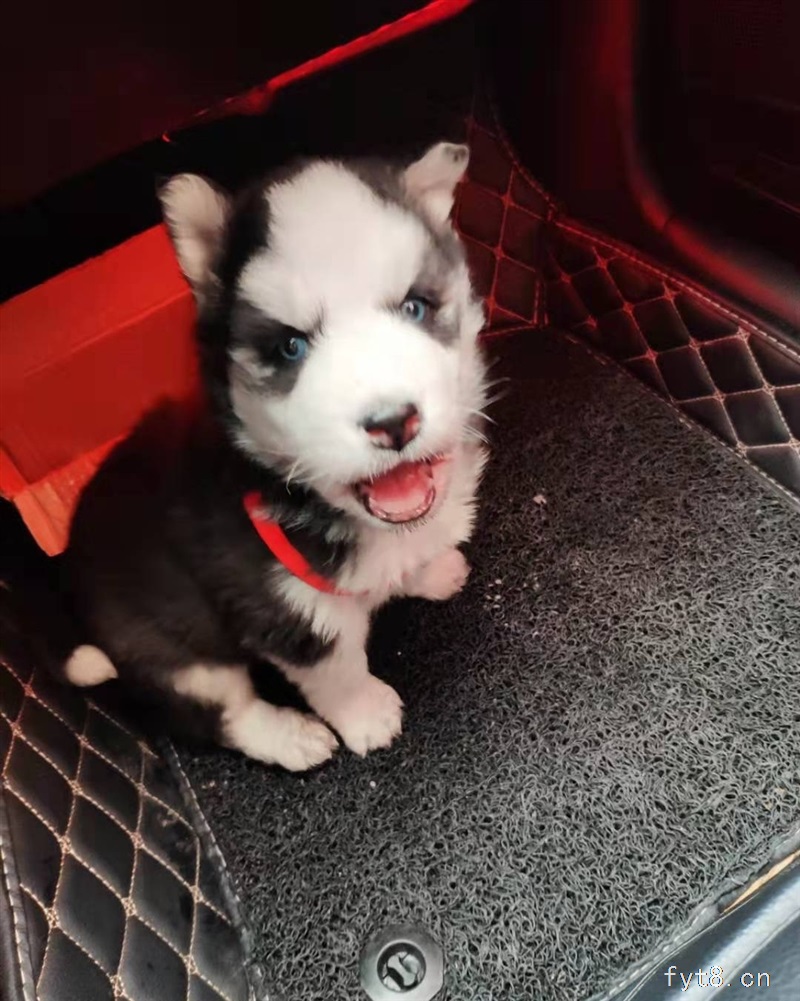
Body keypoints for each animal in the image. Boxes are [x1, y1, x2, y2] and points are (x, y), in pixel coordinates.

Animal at [62, 141, 489, 770]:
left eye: (415, 307)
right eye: (291, 346)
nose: (394, 422)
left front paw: (430, 569)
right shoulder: (283, 610)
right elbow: (337, 669)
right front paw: (367, 716)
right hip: (179, 653)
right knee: (225, 715)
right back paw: (292, 738)